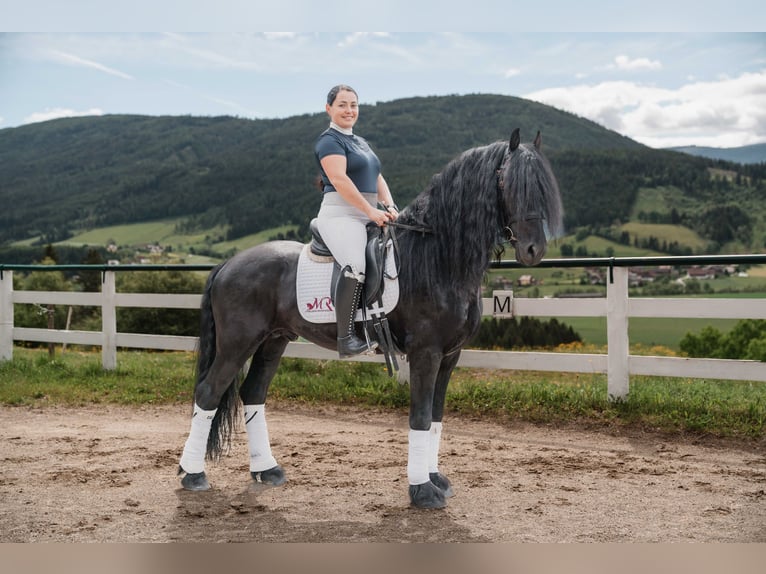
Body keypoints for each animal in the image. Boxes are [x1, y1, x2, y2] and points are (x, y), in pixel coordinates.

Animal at [178, 129, 564, 508]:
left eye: (542, 187)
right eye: (509, 183)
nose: (534, 250)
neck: (437, 259)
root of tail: (227, 264)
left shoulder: (450, 356)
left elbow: (436, 416)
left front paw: (436, 479)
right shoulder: (426, 353)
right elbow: (420, 416)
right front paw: (422, 491)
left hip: (274, 340)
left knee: (253, 392)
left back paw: (266, 470)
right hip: (238, 342)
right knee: (209, 392)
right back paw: (193, 475)